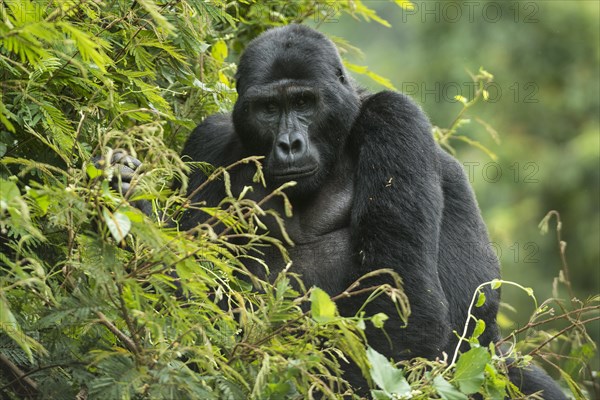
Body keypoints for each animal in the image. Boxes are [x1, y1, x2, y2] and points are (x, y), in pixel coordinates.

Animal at [111, 24, 568, 396]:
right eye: (268, 109)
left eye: (304, 102)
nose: (289, 144)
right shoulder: (207, 141)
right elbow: (182, 291)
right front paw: (128, 197)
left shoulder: (395, 118)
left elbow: (401, 309)